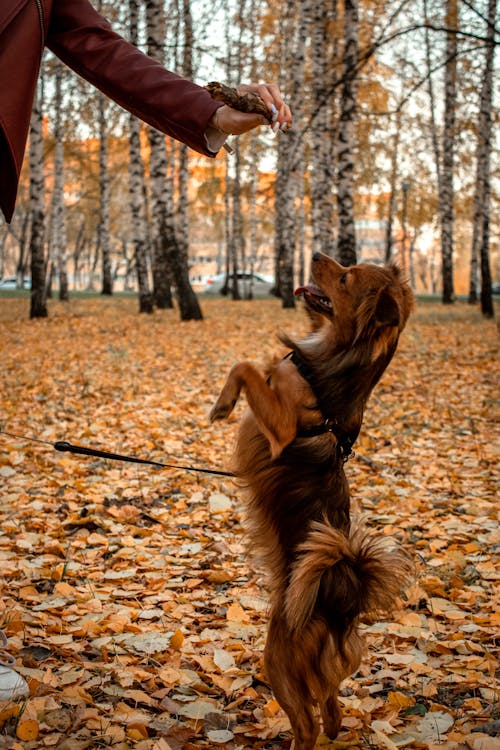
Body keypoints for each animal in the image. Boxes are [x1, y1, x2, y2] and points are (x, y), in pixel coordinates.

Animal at [210, 254, 414, 750]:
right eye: (347, 265)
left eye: (343, 277)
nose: (317, 256)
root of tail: (341, 603)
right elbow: (254, 365)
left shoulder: (282, 427)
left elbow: (247, 366)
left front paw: (223, 404)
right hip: (319, 668)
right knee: (332, 704)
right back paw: (337, 725)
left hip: (278, 661)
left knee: (308, 724)